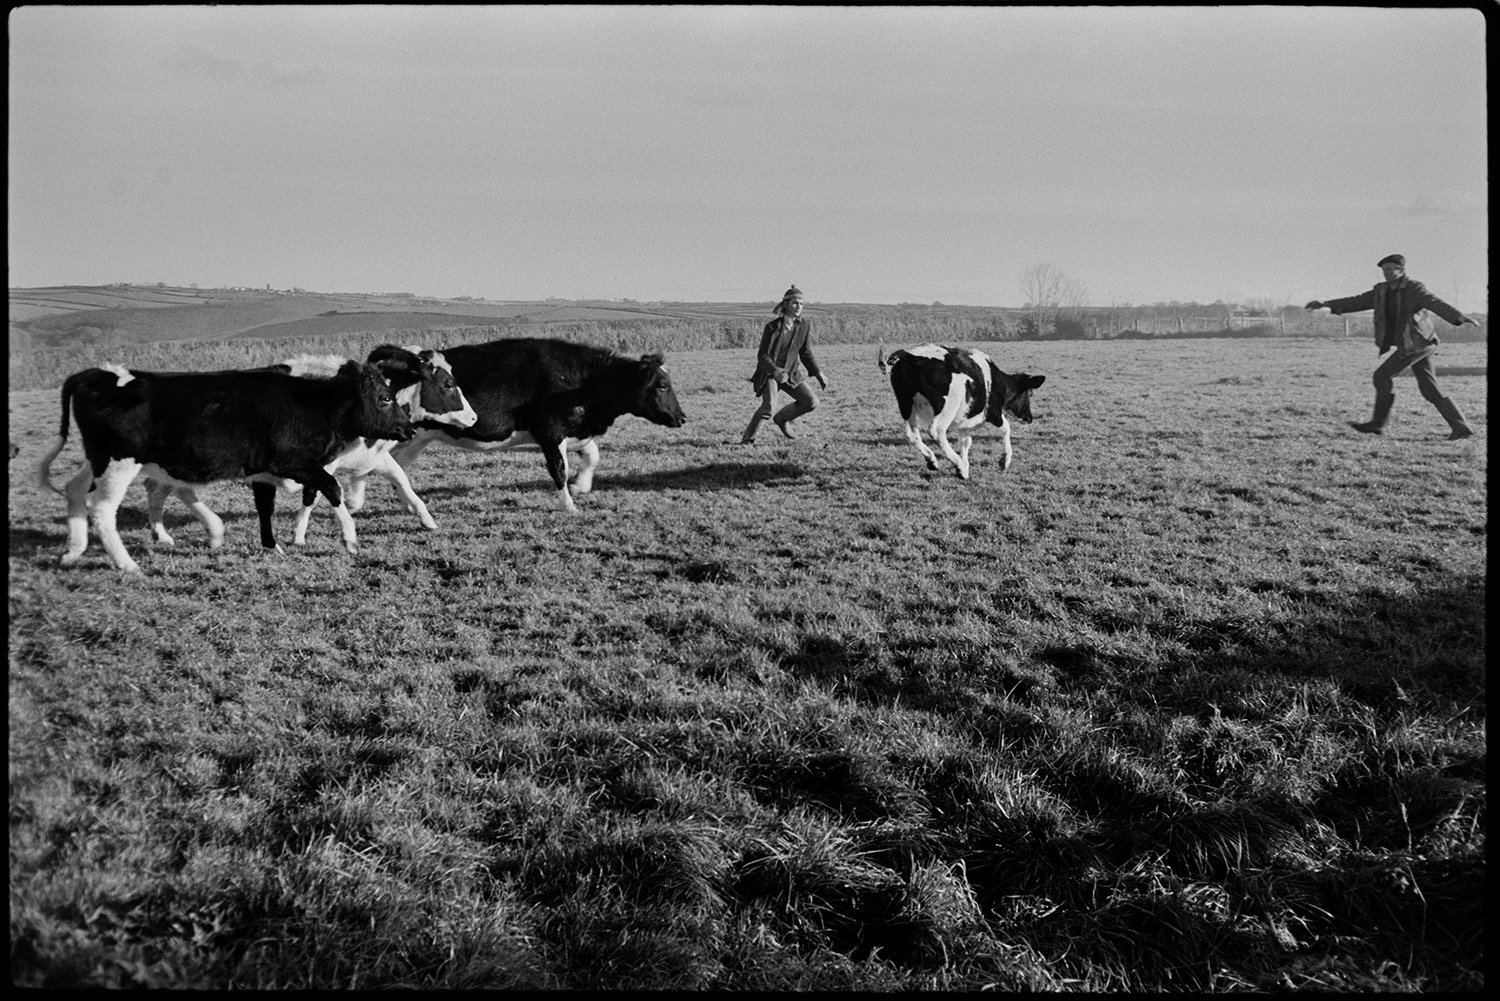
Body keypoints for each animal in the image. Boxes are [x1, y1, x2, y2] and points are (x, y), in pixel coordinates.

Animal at [38, 360, 414, 570]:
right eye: (385, 398)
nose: (409, 429)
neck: (312, 405)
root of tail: (93, 374)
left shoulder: (263, 471)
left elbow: (266, 507)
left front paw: (272, 545)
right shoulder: (292, 462)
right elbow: (332, 488)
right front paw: (350, 539)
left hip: (98, 460)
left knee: (74, 491)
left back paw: (74, 551)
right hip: (119, 463)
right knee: (102, 508)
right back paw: (126, 563)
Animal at [143, 345, 477, 549]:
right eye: (448, 384)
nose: (473, 417)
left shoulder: (376, 457)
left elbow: (403, 484)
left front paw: (427, 520)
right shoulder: (318, 463)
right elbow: (314, 494)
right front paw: (299, 534)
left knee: (158, 489)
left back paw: (164, 535)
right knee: (165, 489)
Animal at [387, 336, 690, 513]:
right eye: (662, 385)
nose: (682, 417)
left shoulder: (575, 431)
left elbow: (592, 457)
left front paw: (581, 486)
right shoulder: (550, 431)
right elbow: (559, 469)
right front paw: (569, 506)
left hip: (416, 439)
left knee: (398, 468)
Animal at [876, 346, 1044, 480]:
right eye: (1029, 394)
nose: (1029, 418)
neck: (996, 379)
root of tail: (908, 355)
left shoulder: (965, 422)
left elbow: (966, 441)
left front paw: (965, 466)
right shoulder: (993, 412)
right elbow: (1006, 428)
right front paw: (1004, 461)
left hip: (906, 405)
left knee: (911, 434)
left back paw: (932, 460)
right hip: (947, 406)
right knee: (936, 432)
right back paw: (957, 464)